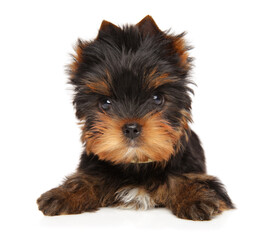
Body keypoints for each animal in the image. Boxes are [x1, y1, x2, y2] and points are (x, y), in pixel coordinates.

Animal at [36, 15, 233, 220]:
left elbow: (184, 178)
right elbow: (86, 179)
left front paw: (196, 196)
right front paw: (64, 194)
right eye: (105, 103)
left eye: (157, 98)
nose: (131, 128)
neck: (137, 163)